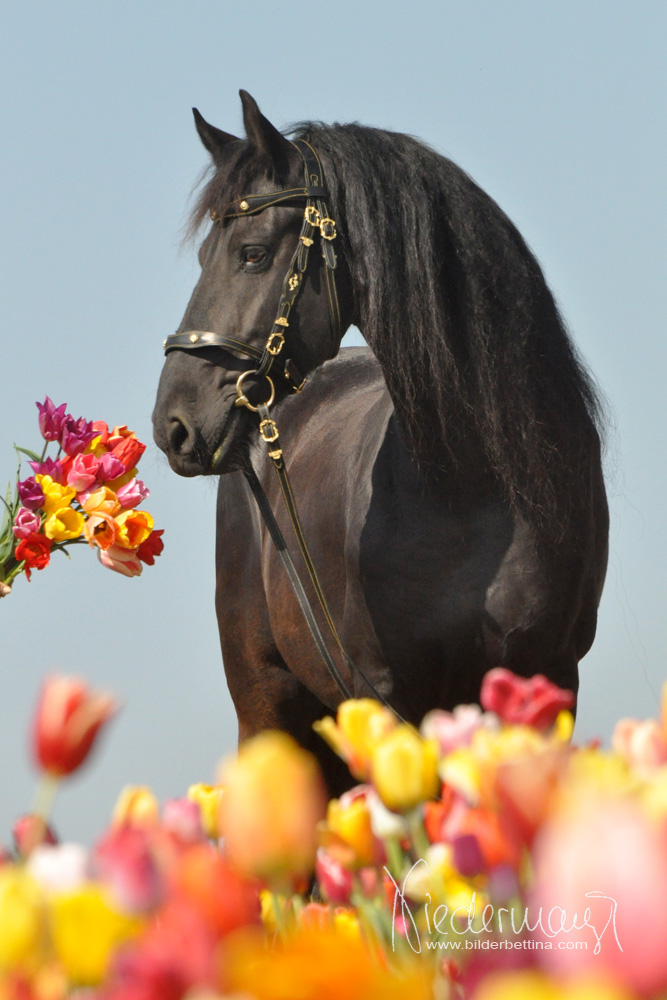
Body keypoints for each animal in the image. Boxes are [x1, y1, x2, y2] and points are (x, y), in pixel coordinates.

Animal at [155, 92, 612, 796]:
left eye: (253, 253)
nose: (173, 423)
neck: (468, 487)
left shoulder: (547, 681)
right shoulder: (389, 696)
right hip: (266, 703)